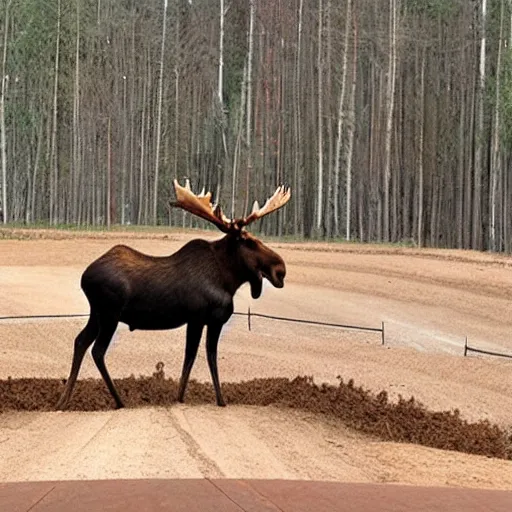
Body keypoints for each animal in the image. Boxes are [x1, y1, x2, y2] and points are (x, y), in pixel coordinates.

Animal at [56, 178, 290, 410]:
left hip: (96, 314)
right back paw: (119, 401)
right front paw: (190, 399)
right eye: (247, 240)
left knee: (80, 341)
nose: (280, 269)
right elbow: (195, 357)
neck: (228, 281)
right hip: (109, 315)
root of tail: (84, 277)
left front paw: (212, 400)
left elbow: (205, 356)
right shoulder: (199, 318)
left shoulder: (208, 321)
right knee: (97, 350)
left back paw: (63, 401)